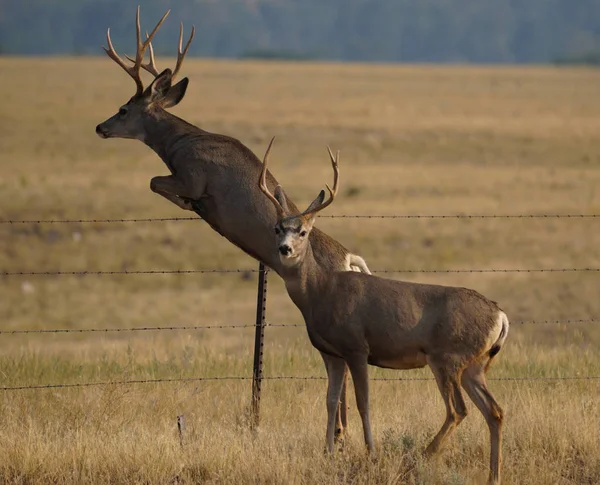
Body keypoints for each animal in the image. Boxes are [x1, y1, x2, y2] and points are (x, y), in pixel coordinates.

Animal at [95, 5, 370, 436]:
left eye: (124, 109)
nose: (100, 127)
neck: (180, 142)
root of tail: (349, 259)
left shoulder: (193, 174)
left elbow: (156, 182)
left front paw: (191, 205)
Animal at [258, 137, 510, 484]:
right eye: (277, 228)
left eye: (303, 232)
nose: (285, 249)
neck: (322, 292)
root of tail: (500, 316)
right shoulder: (331, 353)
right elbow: (330, 401)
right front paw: (328, 453)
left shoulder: (357, 347)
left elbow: (363, 402)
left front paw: (371, 453)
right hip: (474, 364)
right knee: (494, 411)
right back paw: (492, 476)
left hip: (447, 357)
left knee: (458, 410)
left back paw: (420, 457)